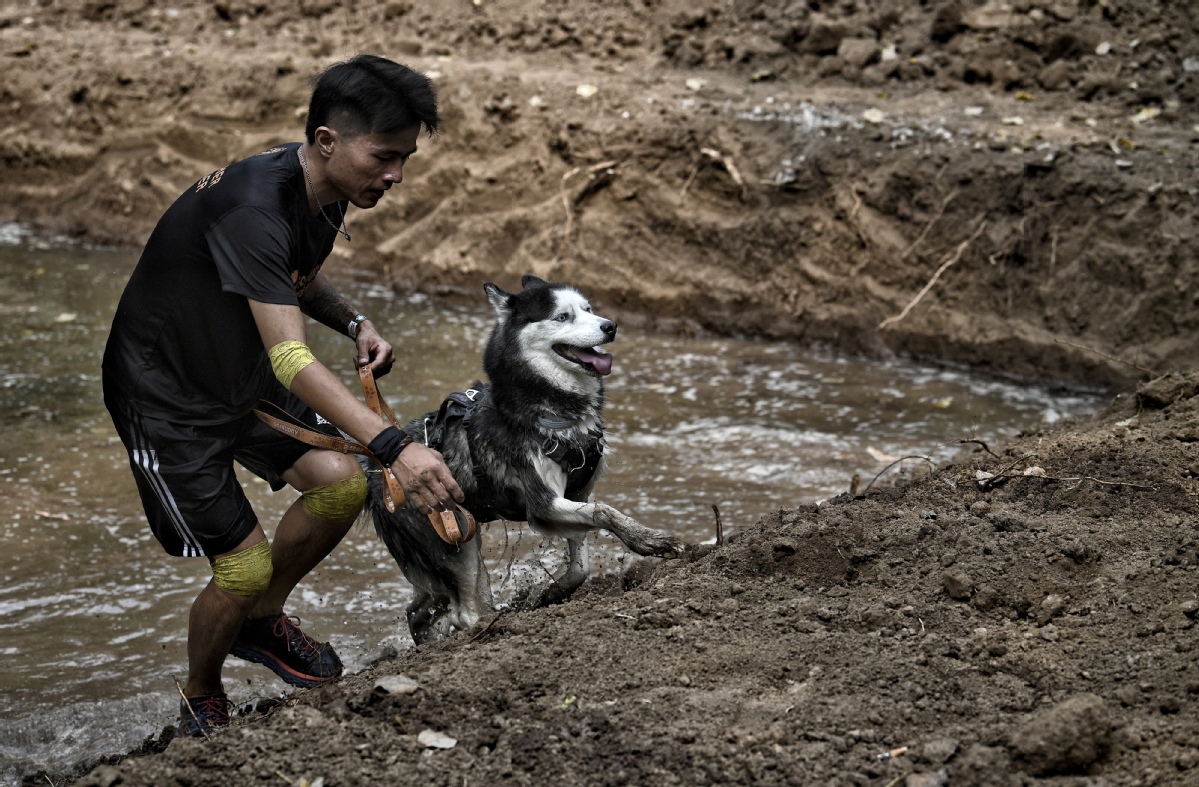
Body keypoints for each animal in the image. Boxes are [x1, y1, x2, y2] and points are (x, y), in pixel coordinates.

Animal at [362, 273, 685, 643]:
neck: (554, 412)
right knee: (463, 611)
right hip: (452, 540)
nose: (610, 326)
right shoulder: (543, 504)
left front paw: (551, 592)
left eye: (588, 309)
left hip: (455, 542)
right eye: (563, 317)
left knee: (421, 608)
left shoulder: (577, 493)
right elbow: (604, 511)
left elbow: (581, 563)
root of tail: (377, 475)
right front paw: (650, 540)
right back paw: (488, 626)